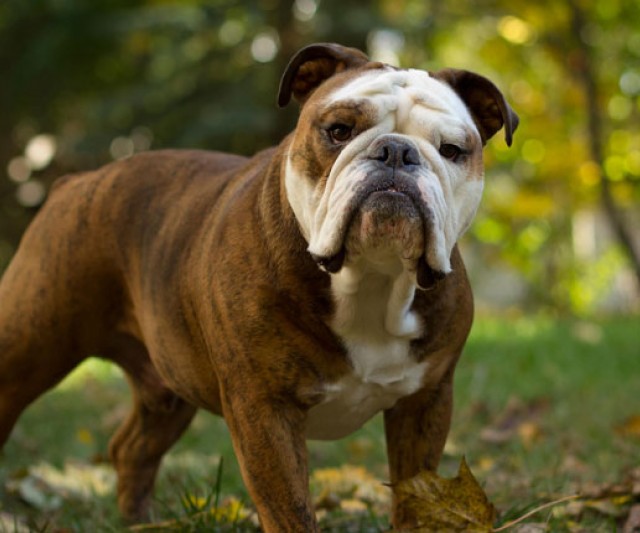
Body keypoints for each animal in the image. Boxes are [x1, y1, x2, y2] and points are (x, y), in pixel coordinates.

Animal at [0, 43, 516, 528]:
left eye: (451, 150)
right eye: (339, 131)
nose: (396, 151)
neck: (371, 278)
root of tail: (76, 182)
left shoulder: (425, 403)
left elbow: (416, 498)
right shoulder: (265, 411)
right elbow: (291, 510)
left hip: (168, 387)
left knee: (132, 448)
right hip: (29, 347)